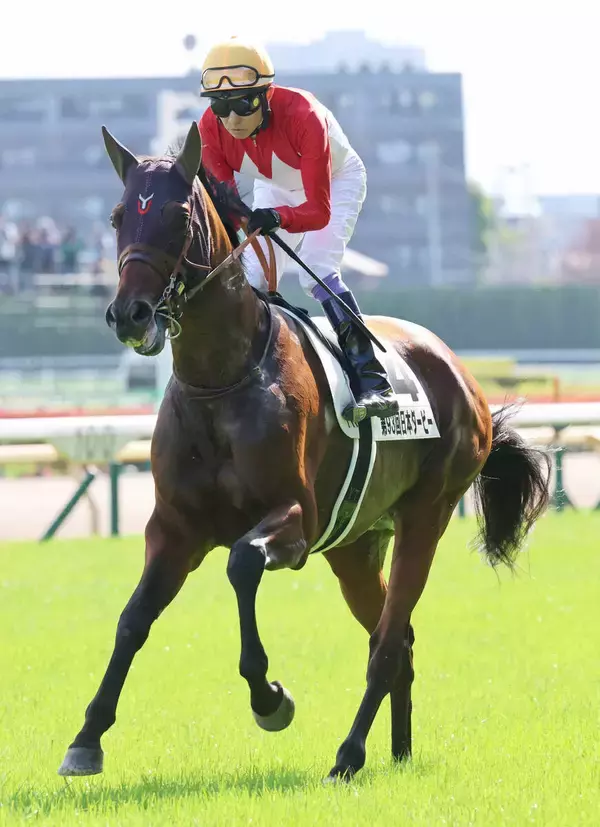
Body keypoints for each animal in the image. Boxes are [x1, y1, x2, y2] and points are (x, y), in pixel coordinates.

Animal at [58, 122, 551, 782]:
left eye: (177, 215)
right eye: (117, 216)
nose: (130, 314)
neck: (222, 380)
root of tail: (465, 378)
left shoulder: (295, 518)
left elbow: (241, 564)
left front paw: (269, 698)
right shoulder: (175, 526)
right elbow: (133, 618)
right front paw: (87, 737)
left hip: (427, 514)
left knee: (388, 640)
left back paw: (349, 755)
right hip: (354, 546)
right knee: (398, 638)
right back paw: (397, 752)